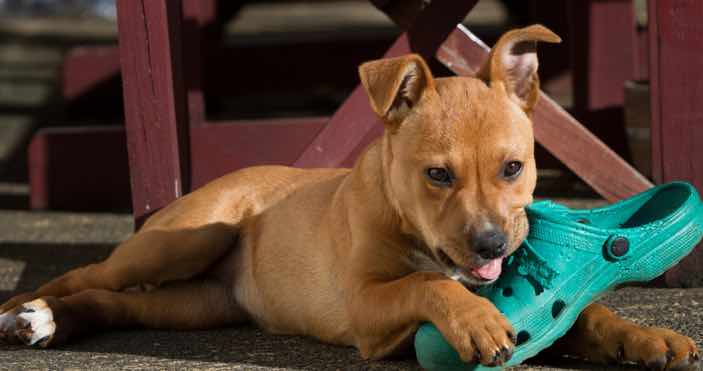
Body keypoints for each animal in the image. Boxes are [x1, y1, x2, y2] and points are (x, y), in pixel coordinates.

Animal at [0, 24, 700, 370]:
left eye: (513, 167)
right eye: (437, 175)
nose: (491, 245)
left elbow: (584, 314)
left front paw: (646, 339)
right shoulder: (366, 305)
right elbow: (428, 284)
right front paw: (474, 321)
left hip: (195, 304)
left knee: (114, 303)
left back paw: (51, 321)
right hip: (185, 240)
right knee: (88, 274)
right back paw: (26, 308)